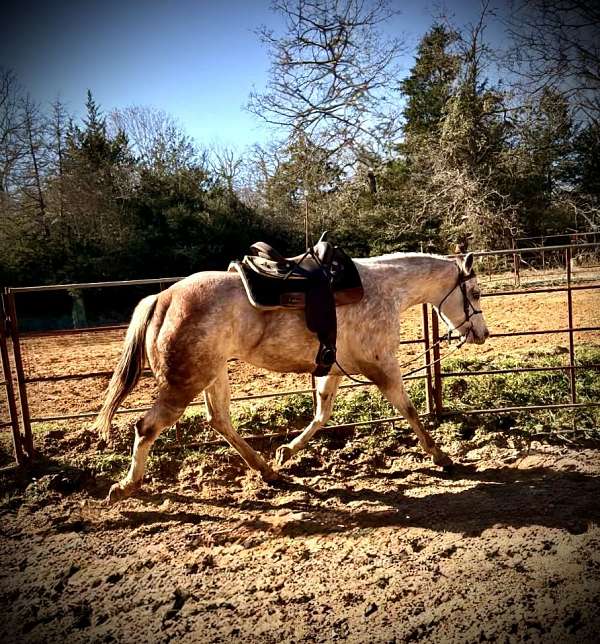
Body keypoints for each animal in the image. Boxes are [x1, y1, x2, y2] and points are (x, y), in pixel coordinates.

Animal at [93, 251, 489, 502]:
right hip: (183, 384)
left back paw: (269, 471)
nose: (482, 334)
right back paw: (126, 486)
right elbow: (409, 411)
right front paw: (441, 456)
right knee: (146, 428)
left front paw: (288, 450)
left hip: (213, 375)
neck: (385, 289)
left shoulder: (332, 369)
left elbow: (321, 414)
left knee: (219, 420)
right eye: (474, 292)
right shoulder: (382, 366)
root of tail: (163, 298)